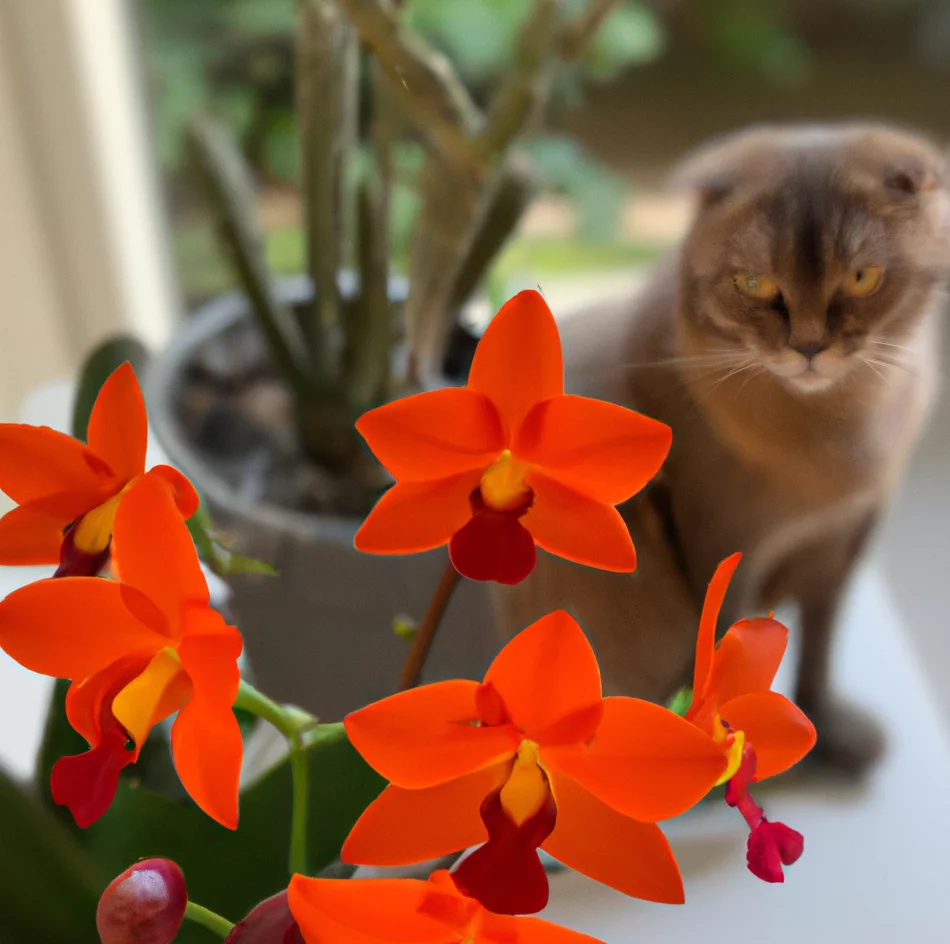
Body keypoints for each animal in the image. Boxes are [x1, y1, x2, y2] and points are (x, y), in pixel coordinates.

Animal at [494, 123, 950, 776]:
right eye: (754, 285)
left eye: (862, 278)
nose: (809, 348)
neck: (838, 432)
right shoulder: (727, 547)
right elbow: (728, 661)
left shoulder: (841, 543)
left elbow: (819, 647)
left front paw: (829, 735)